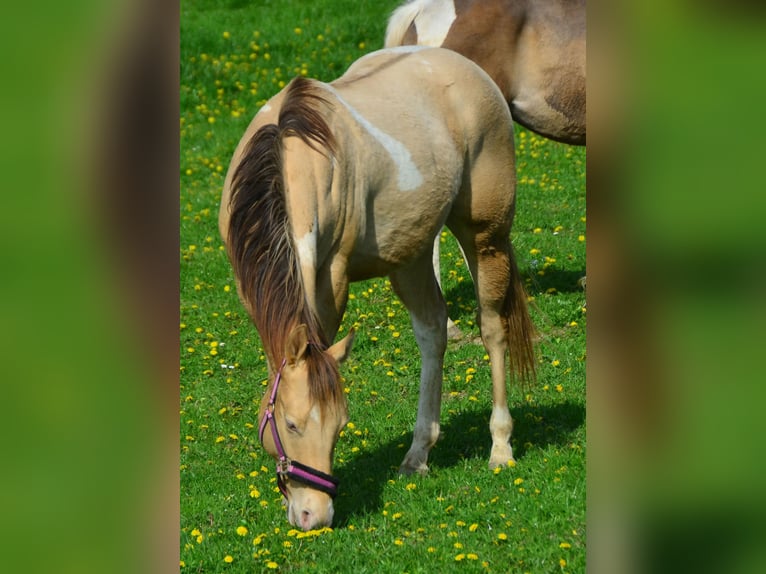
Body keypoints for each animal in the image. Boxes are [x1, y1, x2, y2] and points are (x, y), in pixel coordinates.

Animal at [219, 47, 536, 532]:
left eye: (340, 426)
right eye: (290, 426)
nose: (315, 515)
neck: (289, 159)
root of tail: (465, 67)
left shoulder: (330, 281)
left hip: (486, 236)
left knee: (493, 329)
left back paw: (500, 447)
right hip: (411, 256)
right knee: (432, 332)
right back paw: (418, 454)